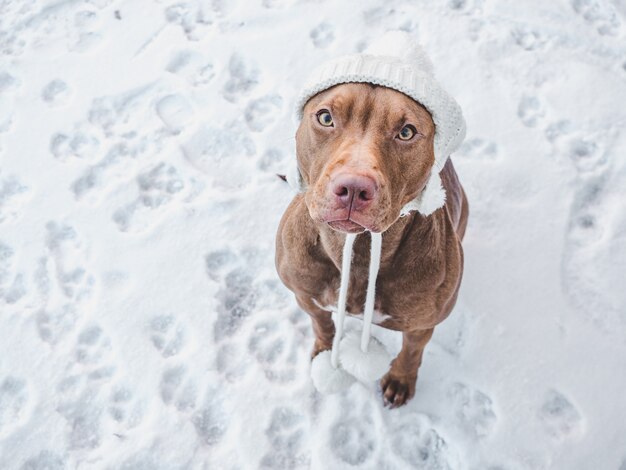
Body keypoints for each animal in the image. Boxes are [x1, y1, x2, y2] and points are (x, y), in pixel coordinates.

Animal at [276, 82, 466, 406]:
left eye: (406, 132)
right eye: (325, 118)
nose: (354, 187)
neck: (358, 251)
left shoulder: (422, 325)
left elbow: (412, 352)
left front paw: (400, 380)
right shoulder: (305, 295)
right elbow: (322, 324)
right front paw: (324, 352)